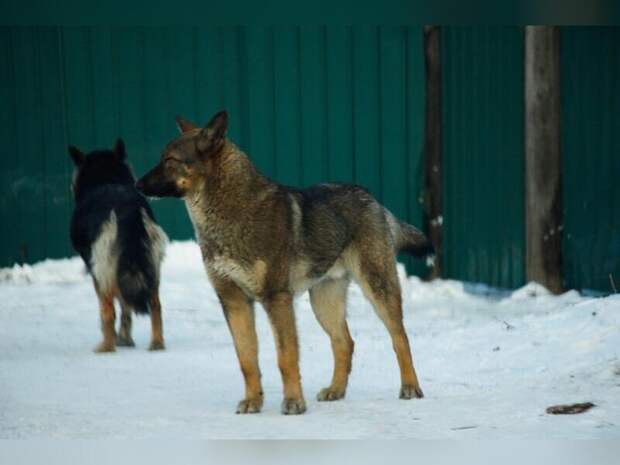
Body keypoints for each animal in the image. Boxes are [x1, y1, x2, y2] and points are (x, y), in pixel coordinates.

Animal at [69, 139, 167, 352]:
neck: (107, 178)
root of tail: (128, 211)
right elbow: (126, 306)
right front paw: (125, 338)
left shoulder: (99, 269)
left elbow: (112, 307)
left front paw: (118, 338)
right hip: (150, 265)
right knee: (155, 305)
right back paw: (156, 343)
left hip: (103, 268)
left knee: (108, 309)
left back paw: (106, 346)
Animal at [138, 109, 434, 414]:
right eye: (162, 158)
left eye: (170, 161)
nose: (137, 184)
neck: (231, 214)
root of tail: (371, 198)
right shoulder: (233, 301)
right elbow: (247, 360)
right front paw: (253, 401)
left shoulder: (276, 299)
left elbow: (286, 357)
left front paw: (293, 402)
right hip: (324, 302)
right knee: (344, 342)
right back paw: (336, 390)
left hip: (377, 289)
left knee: (400, 338)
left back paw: (410, 387)